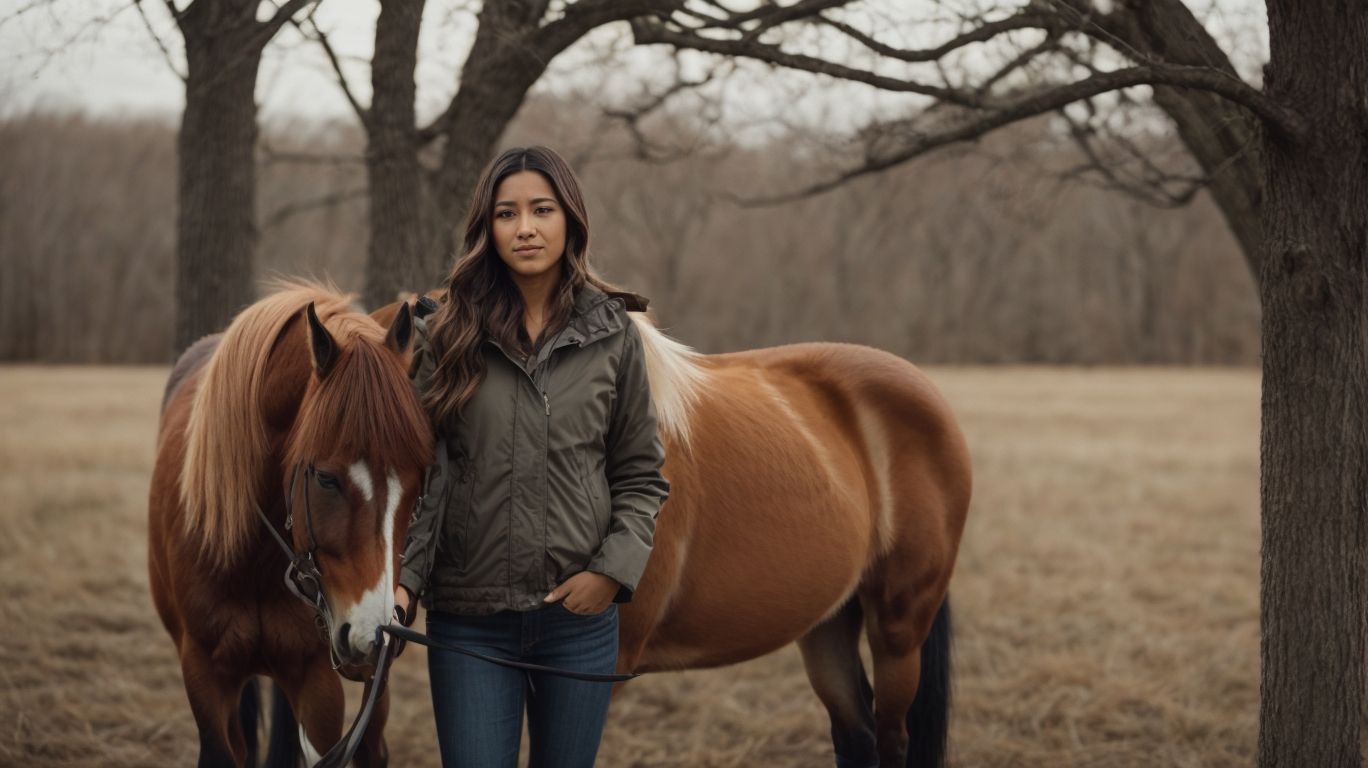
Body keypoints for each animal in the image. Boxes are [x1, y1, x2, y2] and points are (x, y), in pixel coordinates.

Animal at [148, 282, 433, 768]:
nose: (371, 634)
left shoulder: (318, 684)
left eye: (417, 484)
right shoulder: (205, 674)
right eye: (325, 478)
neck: (249, 555)